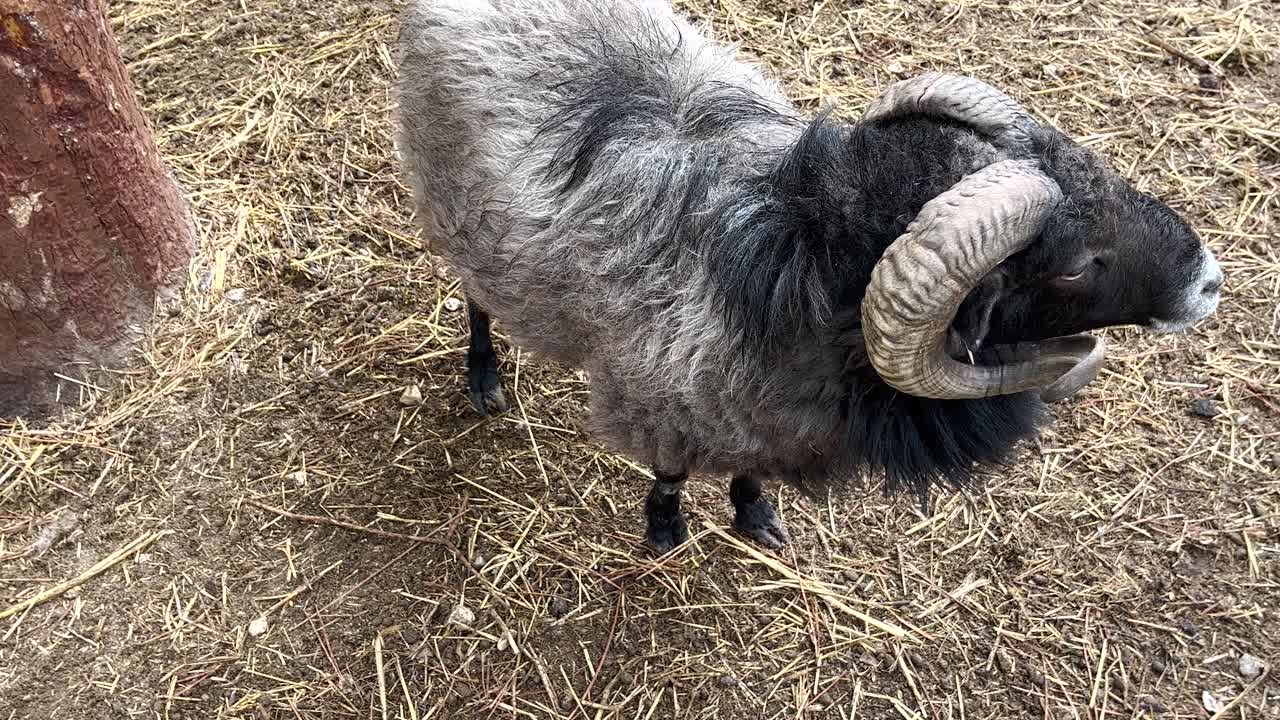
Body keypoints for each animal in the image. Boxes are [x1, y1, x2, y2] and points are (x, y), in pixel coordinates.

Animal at [392, 0, 1223, 552]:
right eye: (1078, 268)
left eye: (1102, 171)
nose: (1209, 280)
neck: (802, 255)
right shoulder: (664, 397)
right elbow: (669, 472)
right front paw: (665, 531)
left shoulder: (756, 410)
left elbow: (749, 472)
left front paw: (757, 518)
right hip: (460, 215)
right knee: (475, 299)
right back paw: (483, 377)